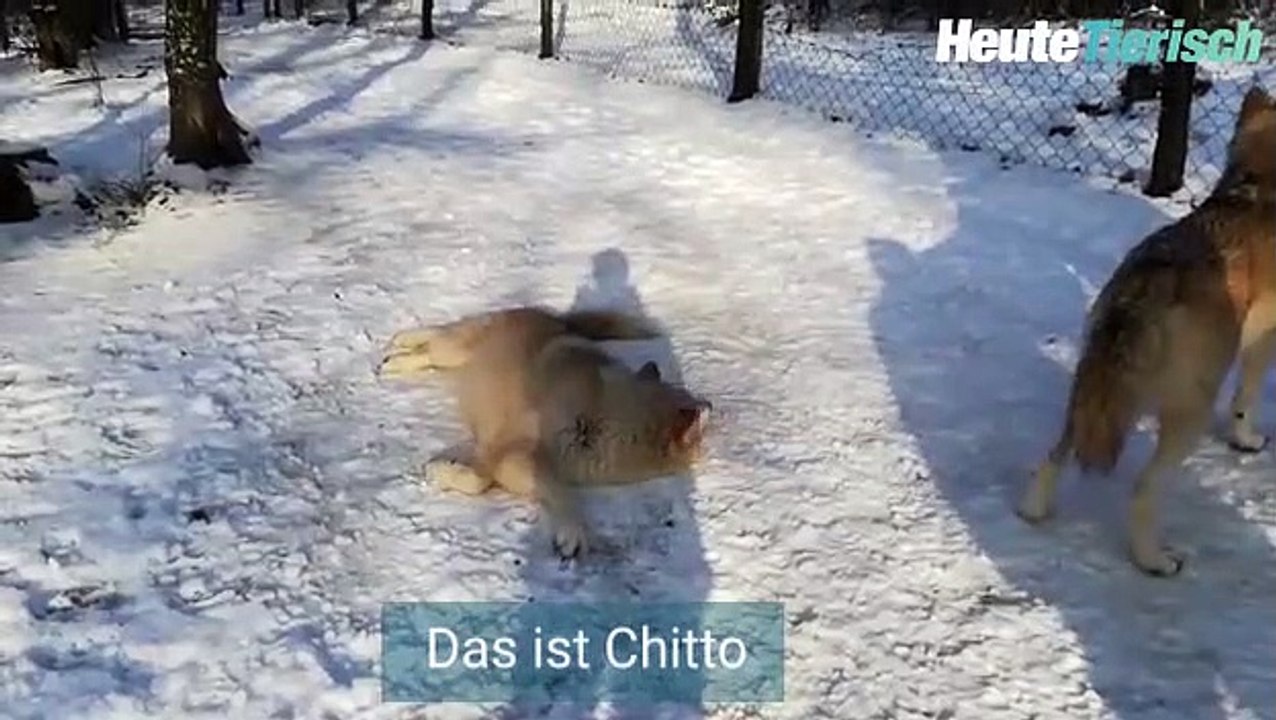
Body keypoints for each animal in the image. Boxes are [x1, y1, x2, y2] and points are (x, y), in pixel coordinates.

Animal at [378, 306, 712, 559]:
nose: (711, 407)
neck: (604, 418)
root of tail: (558, 318)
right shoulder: (511, 446)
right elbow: (486, 481)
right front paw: (575, 532)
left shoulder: (517, 461)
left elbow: (495, 481)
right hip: (455, 350)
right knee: (436, 340)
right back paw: (399, 350)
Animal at [1018, 85, 1276, 576]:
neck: (1255, 184)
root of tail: (1149, 279)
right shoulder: (1262, 343)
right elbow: (1245, 403)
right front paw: (1247, 442)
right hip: (1187, 413)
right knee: (1142, 491)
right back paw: (1155, 560)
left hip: (1095, 396)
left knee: (1054, 455)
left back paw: (1033, 511)